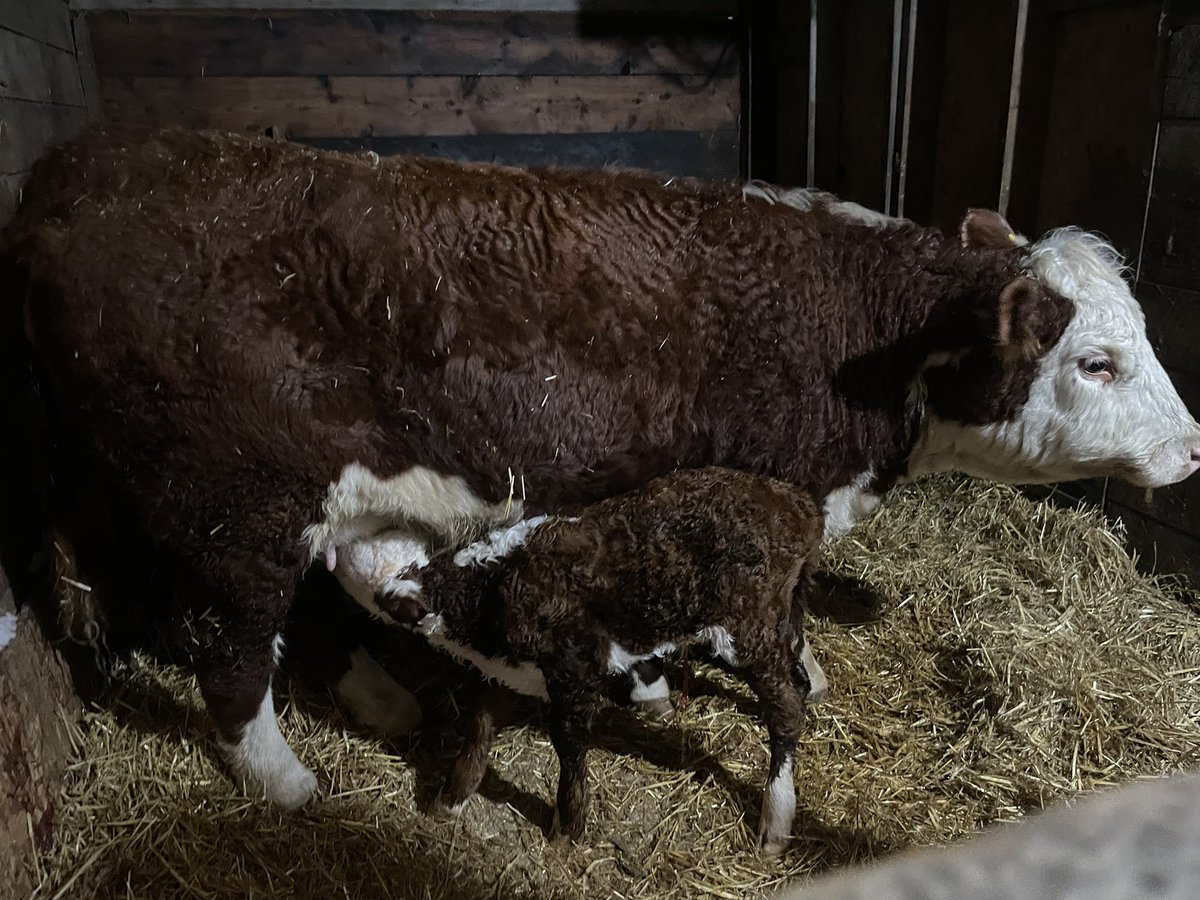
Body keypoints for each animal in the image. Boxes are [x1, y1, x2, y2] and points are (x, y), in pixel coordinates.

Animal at [4, 126, 1198, 811]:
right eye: (1095, 360)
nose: (1190, 447)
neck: (855, 329)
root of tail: (87, 167)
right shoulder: (774, 497)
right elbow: (783, 611)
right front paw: (788, 673)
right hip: (232, 508)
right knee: (232, 650)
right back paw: (286, 780)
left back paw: (380, 697)